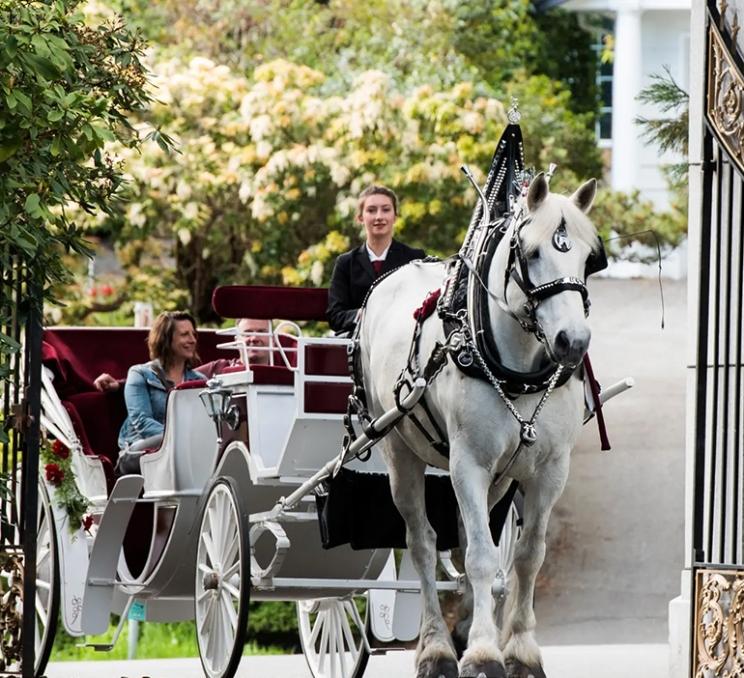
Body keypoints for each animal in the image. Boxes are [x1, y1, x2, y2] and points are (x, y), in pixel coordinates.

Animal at [364, 175, 600, 678]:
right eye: (531, 253)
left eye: (589, 257)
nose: (572, 342)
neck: (519, 370)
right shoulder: (467, 463)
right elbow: (478, 556)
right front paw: (483, 653)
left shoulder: (550, 470)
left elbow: (525, 556)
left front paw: (521, 651)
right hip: (399, 452)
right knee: (423, 543)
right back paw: (436, 647)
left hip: (500, 478)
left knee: (468, 540)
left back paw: (466, 626)